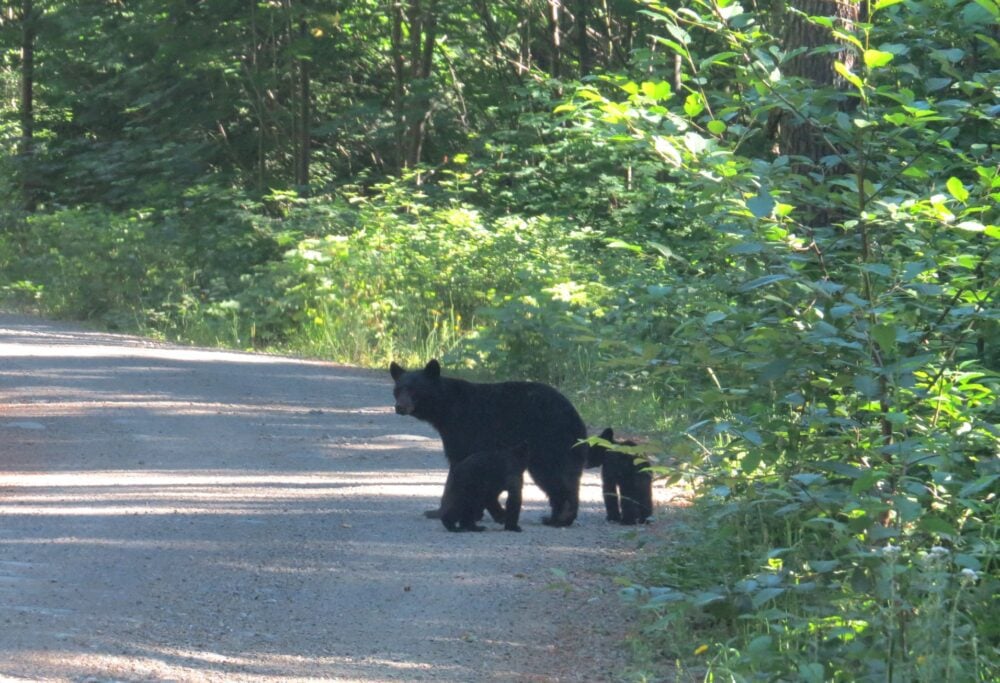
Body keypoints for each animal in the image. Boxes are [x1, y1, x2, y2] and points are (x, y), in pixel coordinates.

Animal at [390, 358, 588, 528]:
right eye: (398, 389)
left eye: (415, 389)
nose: (400, 407)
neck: (446, 409)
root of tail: (576, 416)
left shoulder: (464, 429)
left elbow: (458, 466)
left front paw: (442, 511)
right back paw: (555, 517)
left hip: (550, 440)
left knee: (554, 476)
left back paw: (561, 518)